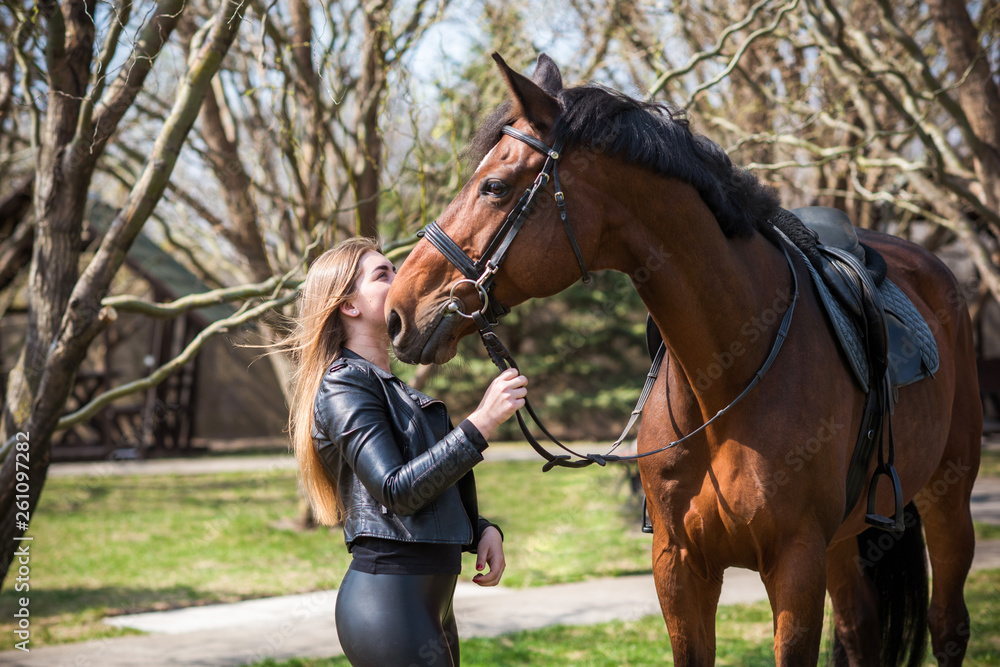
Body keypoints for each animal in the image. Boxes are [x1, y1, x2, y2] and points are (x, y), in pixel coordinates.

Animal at [384, 53, 982, 666]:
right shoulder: (679, 567)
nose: (398, 311)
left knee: (948, 625)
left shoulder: (795, 565)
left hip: (947, 499)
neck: (726, 377)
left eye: (495, 187)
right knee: (860, 631)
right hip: (843, 542)